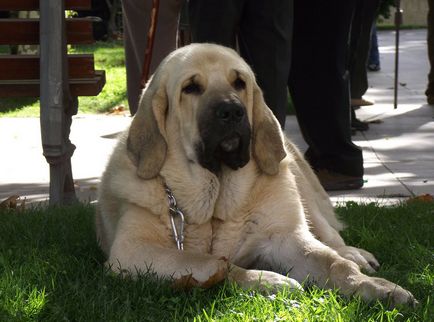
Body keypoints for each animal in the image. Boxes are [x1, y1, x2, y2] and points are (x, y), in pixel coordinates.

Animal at [96, 43, 418, 306]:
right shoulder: (133, 250)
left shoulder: (287, 237)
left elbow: (334, 264)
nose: (231, 111)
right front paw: (269, 281)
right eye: (190, 87)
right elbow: (210, 262)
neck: (215, 198)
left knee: (331, 238)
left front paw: (379, 288)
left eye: (239, 82)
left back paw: (355, 254)